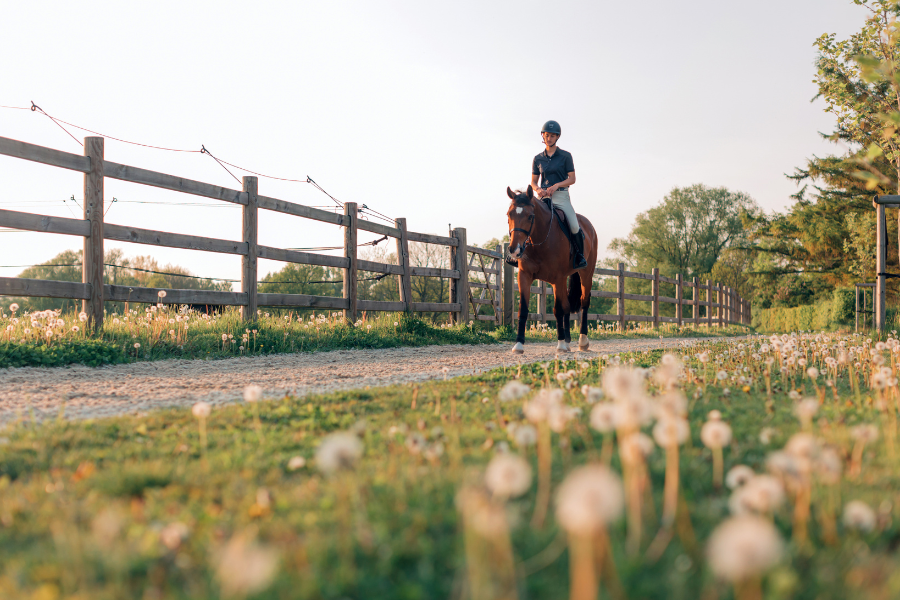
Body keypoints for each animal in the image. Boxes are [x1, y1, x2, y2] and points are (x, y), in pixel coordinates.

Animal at [506, 185, 598, 354]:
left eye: (530, 216)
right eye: (509, 214)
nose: (514, 250)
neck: (540, 239)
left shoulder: (557, 279)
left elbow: (558, 310)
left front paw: (560, 344)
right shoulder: (524, 276)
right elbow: (523, 309)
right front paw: (519, 344)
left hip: (586, 274)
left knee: (584, 303)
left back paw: (582, 341)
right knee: (568, 305)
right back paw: (568, 342)